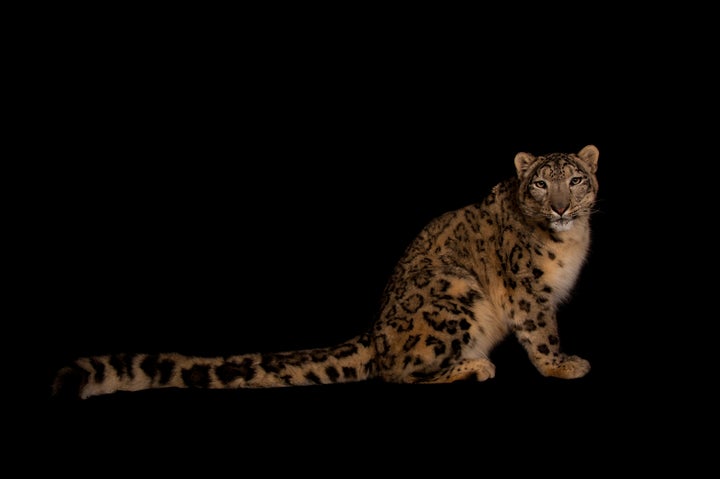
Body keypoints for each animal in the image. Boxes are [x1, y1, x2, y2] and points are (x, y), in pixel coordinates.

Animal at [51, 144, 599, 400]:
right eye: (539, 184)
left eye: (575, 180)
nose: (560, 207)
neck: (571, 240)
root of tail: (376, 330)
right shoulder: (526, 290)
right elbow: (541, 332)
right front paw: (562, 365)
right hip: (455, 295)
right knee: (396, 371)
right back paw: (474, 366)